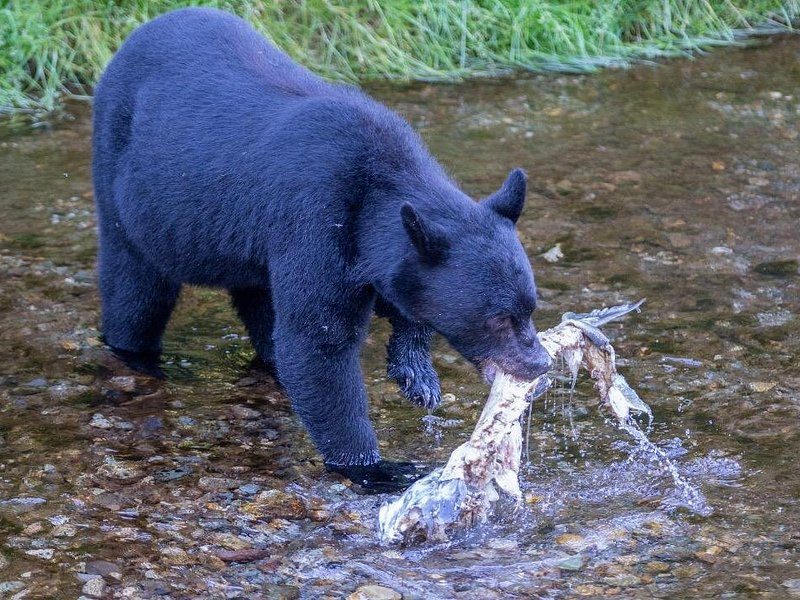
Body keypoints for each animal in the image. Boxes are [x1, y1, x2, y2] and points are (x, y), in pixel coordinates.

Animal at [92, 7, 552, 491]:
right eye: (498, 318)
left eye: (530, 308)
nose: (540, 362)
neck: (378, 185)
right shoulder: (316, 221)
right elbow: (317, 343)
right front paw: (373, 466)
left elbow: (399, 299)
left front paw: (417, 375)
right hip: (125, 191)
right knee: (136, 291)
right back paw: (138, 357)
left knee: (260, 302)